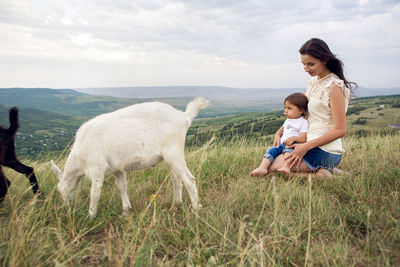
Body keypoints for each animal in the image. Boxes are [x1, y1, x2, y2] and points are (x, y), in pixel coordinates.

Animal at [50, 97, 209, 219]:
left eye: (60, 190)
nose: (66, 209)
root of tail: (183, 116)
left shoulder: (96, 168)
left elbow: (95, 193)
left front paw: (91, 216)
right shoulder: (117, 168)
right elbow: (122, 187)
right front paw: (126, 211)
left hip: (173, 152)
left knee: (189, 179)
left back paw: (196, 210)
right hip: (172, 156)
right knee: (176, 179)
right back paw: (175, 206)